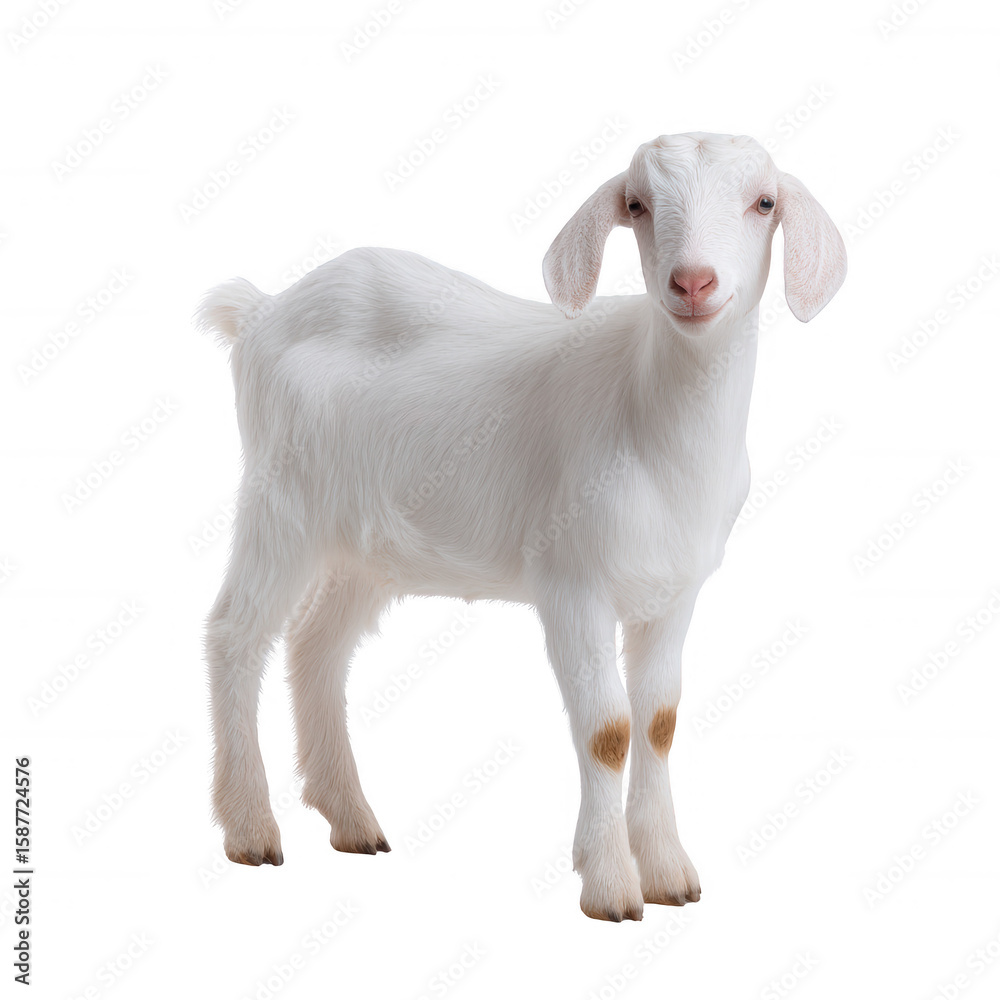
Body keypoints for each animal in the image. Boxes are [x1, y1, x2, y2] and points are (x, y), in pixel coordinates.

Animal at [198, 132, 846, 922]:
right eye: (637, 204)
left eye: (764, 202)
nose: (693, 283)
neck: (650, 414)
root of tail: (261, 312)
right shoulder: (571, 582)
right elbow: (608, 729)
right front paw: (610, 886)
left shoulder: (675, 592)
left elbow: (658, 721)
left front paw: (668, 873)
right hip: (282, 499)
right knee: (236, 632)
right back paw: (250, 828)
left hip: (368, 544)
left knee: (317, 644)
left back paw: (351, 819)